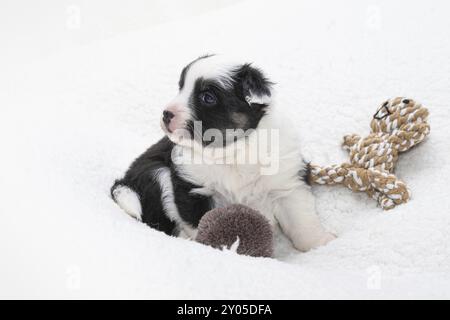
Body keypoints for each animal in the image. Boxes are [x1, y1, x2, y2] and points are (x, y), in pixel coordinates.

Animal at [111, 54, 336, 250]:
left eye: (207, 97)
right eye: (181, 87)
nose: (166, 114)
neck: (232, 151)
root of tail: (125, 180)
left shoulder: (287, 183)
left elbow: (302, 220)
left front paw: (319, 245)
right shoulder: (192, 187)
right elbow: (199, 222)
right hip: (155, 173)